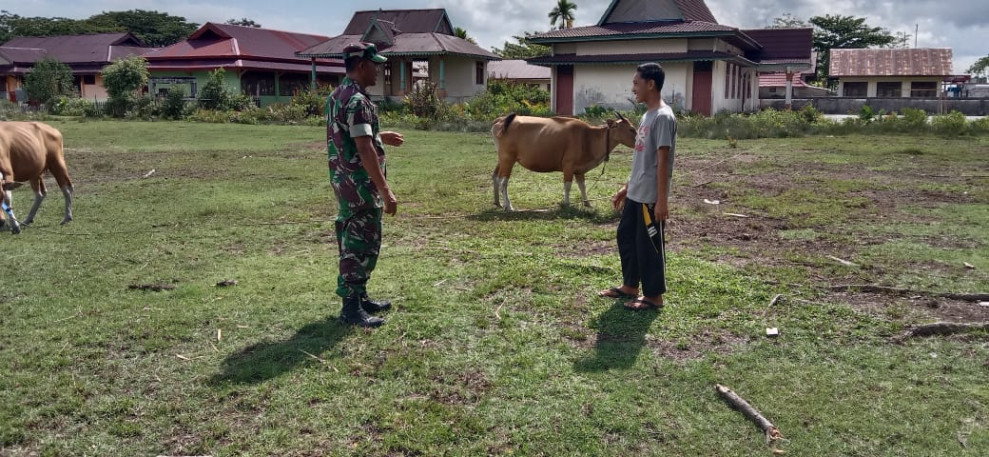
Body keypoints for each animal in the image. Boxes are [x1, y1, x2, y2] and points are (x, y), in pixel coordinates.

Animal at [490, 112, 636, 210]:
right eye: (631, 129)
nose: (638, 140)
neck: (588, 137)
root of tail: (501, 120)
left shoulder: (579, 169)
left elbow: (582, 186)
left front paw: (587, 203)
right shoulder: (568, 166)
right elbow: (567, 185)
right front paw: (567, 204)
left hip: (502, 159)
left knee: (495, 177)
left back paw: (498, 203)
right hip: (508, 159)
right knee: (503, 182)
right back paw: (509, 206)